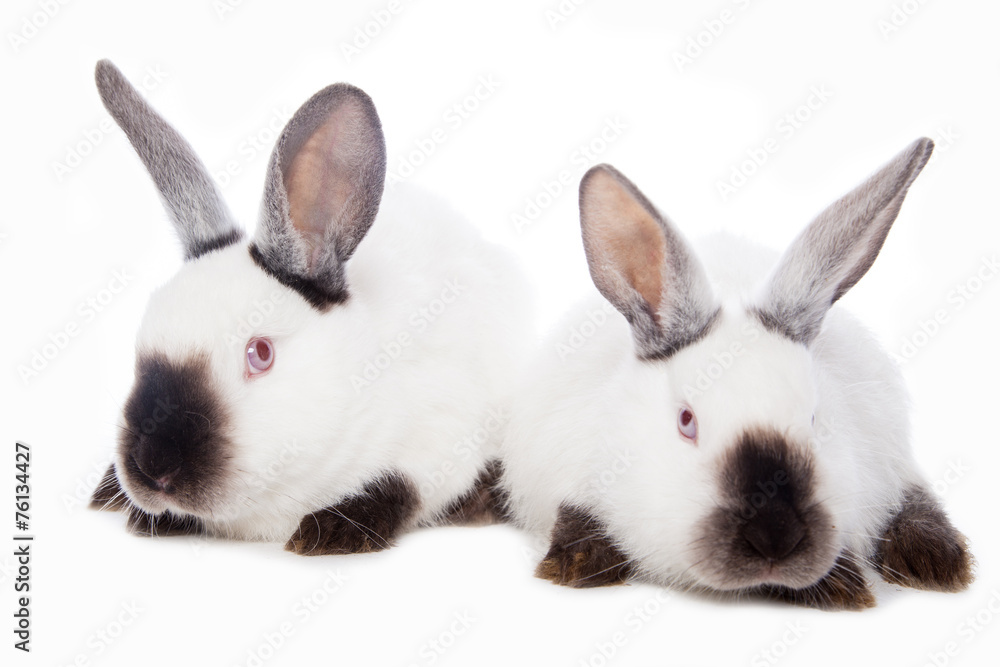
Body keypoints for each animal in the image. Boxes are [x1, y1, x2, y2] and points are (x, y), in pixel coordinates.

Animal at [87, 60, 528, 555]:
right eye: (140, 345)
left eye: (260, 353)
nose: (154, 465)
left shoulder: (443, 434)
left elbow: (404, 486)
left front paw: (328, 533)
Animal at [499, 138, 974, 609]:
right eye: (686, 421)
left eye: (815, 421)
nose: (774, 538)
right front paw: (574, 565)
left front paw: (846, 585)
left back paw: (941, 563)